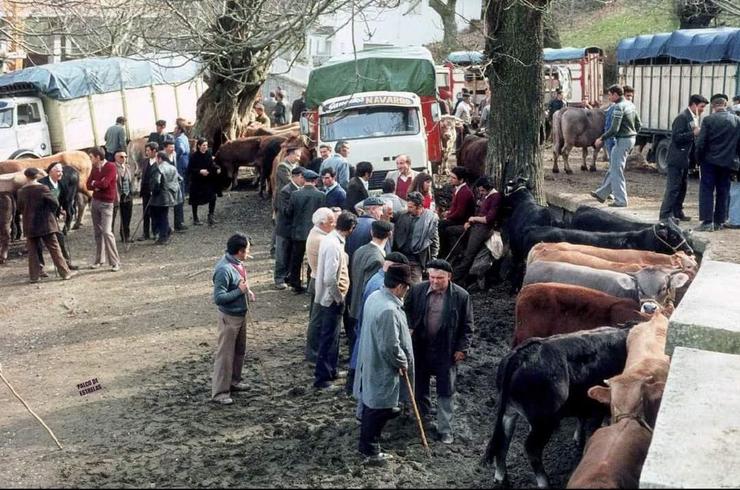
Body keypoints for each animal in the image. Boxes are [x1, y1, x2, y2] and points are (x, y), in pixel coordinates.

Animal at [486, 326, 632, 486]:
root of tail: (522, 354)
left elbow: (582, 418)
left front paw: (579, 438)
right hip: (544, 422)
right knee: (531, 448)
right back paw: (544, 482)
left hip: (509, 412)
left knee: (503, 440)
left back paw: (500, 476)